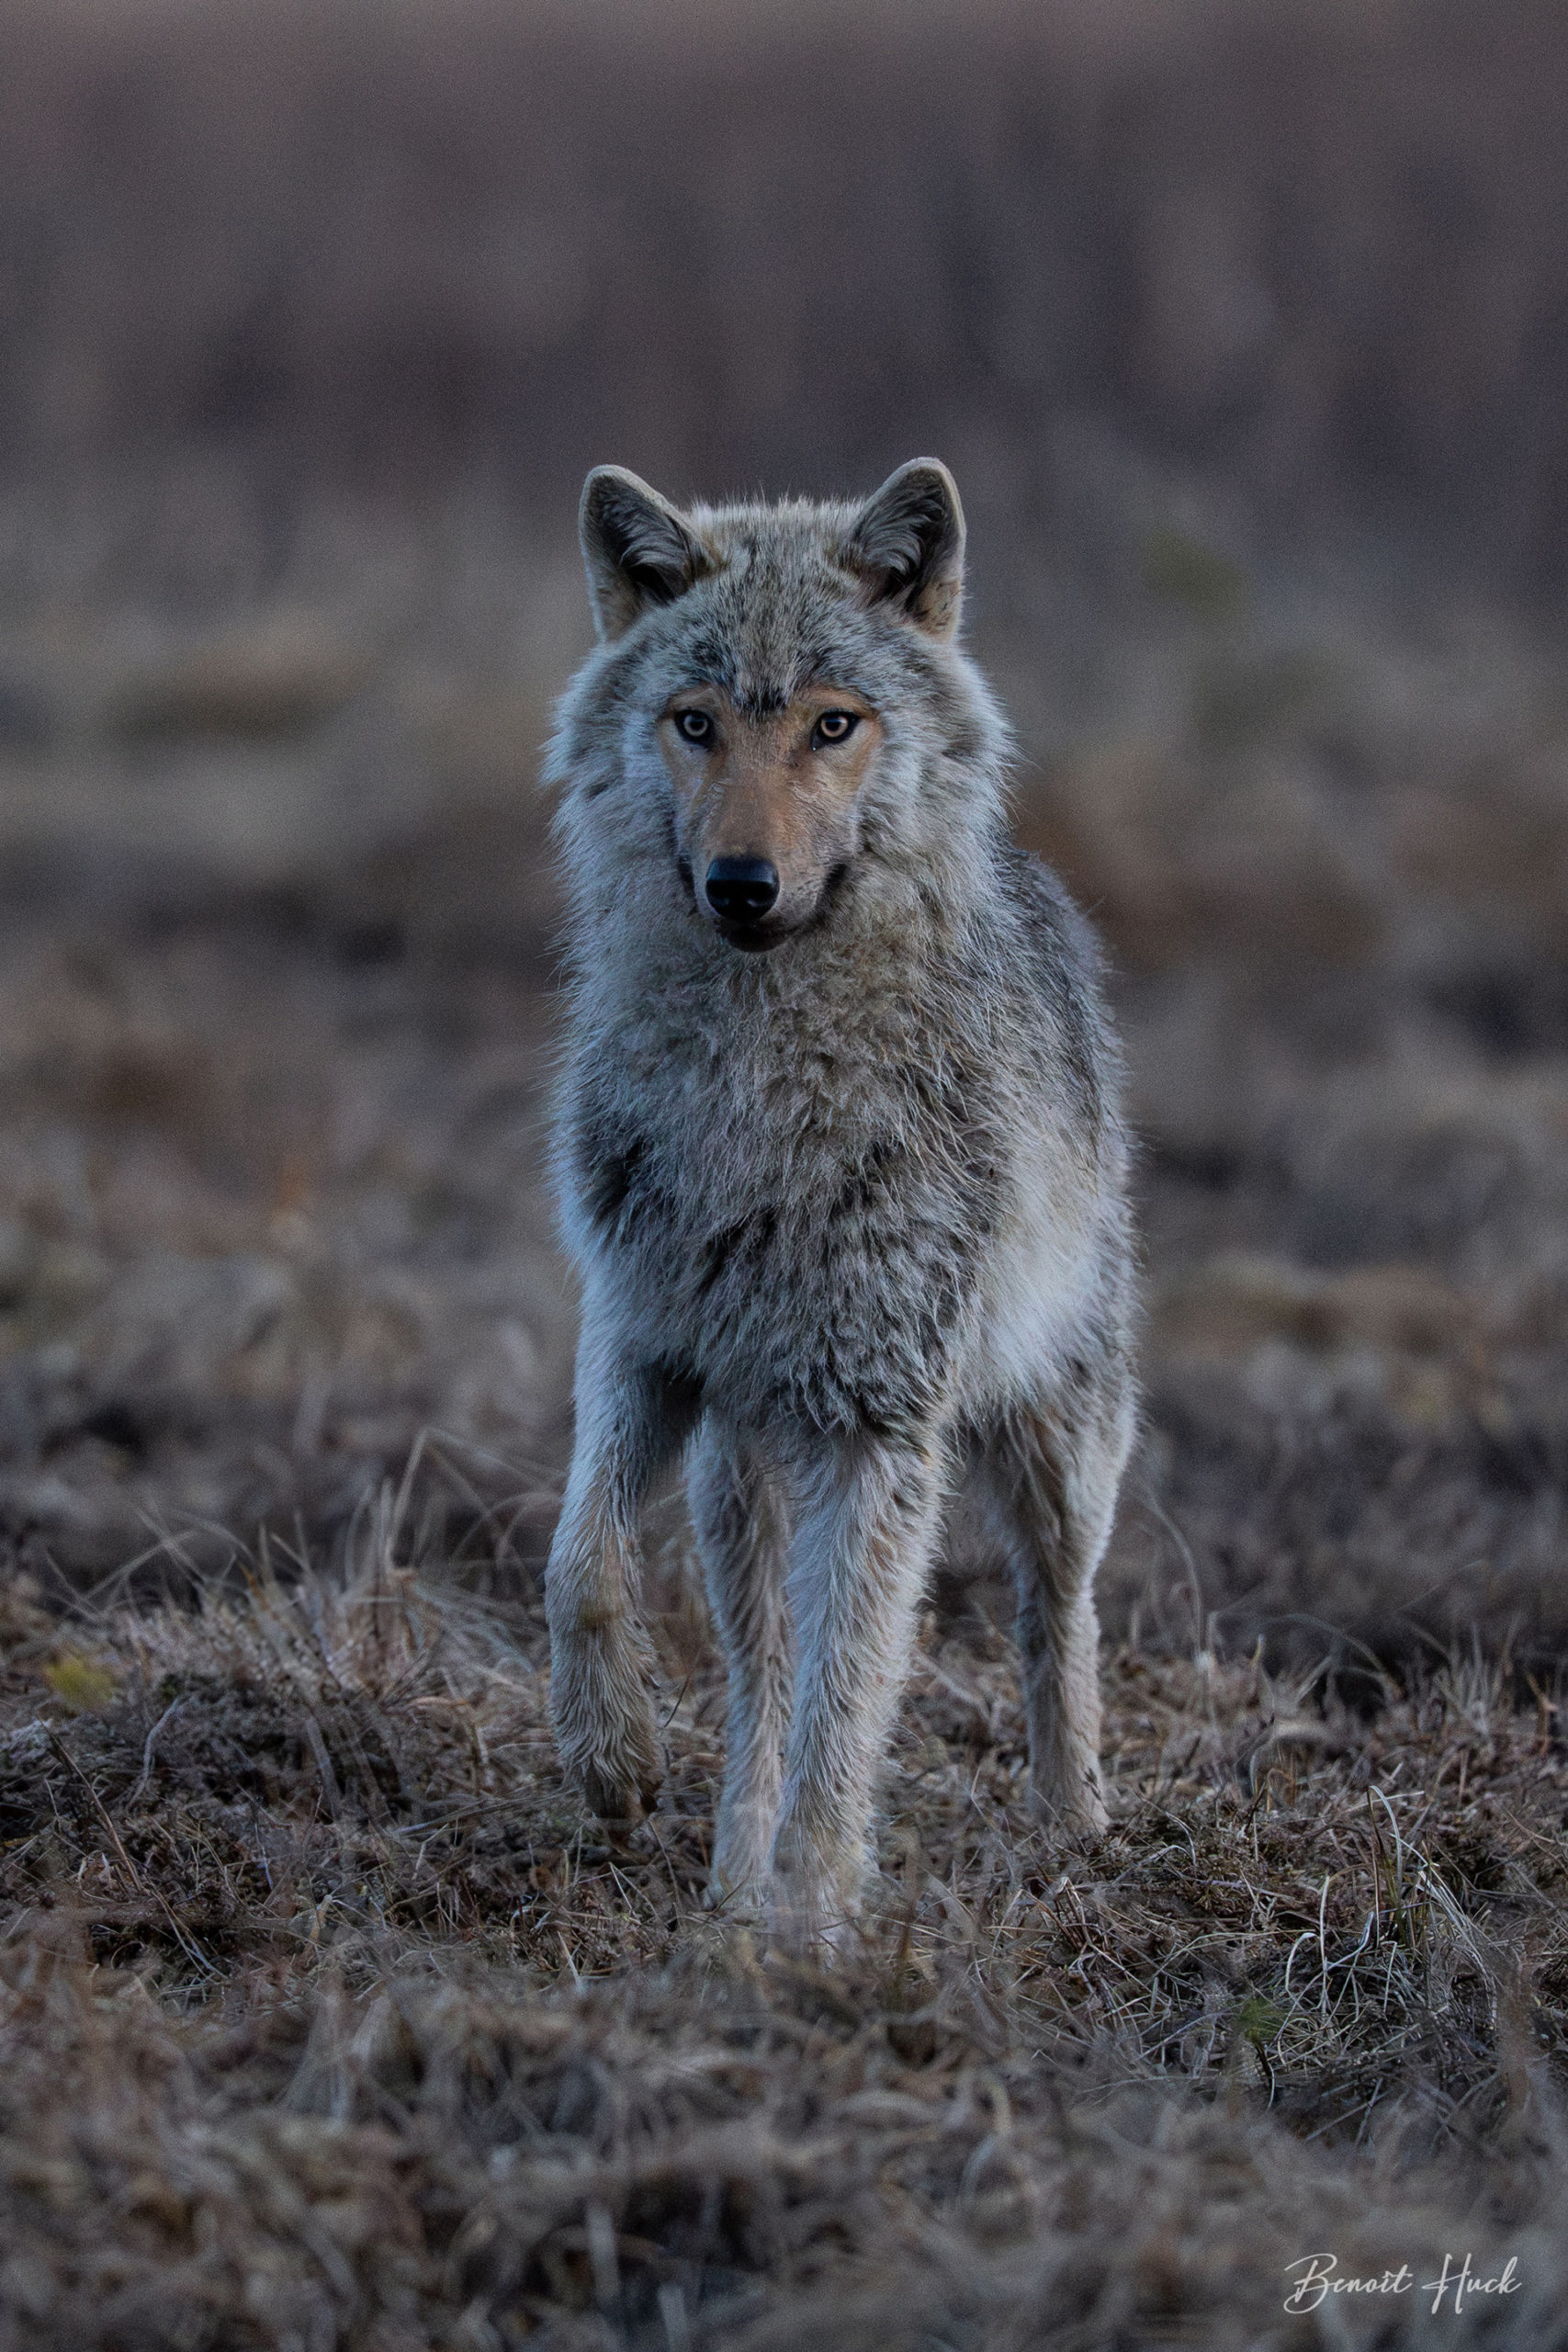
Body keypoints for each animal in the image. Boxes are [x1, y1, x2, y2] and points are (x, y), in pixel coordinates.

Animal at [544, 458, 1136, 1945]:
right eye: (695, 722)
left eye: (831, 723)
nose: (742, 886)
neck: (759, 1093)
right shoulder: (642, 1344)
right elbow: (580, 1566)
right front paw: (614, 1760)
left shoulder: (878, 1425)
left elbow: (847, 1703)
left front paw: (812, 1930)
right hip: (740, 1472)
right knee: (757, 1674)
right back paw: (725, 1874)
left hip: (1051, 1444)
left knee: (1057, 1614)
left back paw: (1074, 1831)